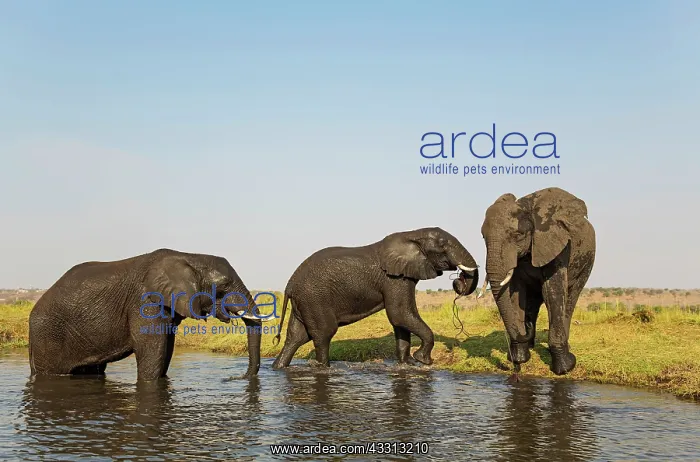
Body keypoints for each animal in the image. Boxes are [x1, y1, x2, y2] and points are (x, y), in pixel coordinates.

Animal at [28, 248, 273, 381]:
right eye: (222, 287)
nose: (236, 378)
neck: (188, 255)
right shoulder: (143, 301)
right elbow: (153, 349)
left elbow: (167, 348)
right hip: (49, 336)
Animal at [271, 227, 479, 369]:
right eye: (443, 246)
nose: (458, 281)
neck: (413, 234)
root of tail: (289, 284)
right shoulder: (394, 279)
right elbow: (400, 314)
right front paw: (423, 360)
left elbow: (401, 321)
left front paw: (407, 364)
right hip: (315, 297)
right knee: (323, 334)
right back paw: (324, 368)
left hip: (305, 301)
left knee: (296, 337)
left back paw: (278, 367)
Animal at [479, 187, 596, 375]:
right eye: (483, 237)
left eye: (518, 235)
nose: (514, 365)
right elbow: (515, 293)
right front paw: (520, 358)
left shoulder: (557, 244)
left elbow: (552, 292)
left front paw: (566, 367)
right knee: (532, 303)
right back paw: (531, 344)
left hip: (587, 261)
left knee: (571, 298)